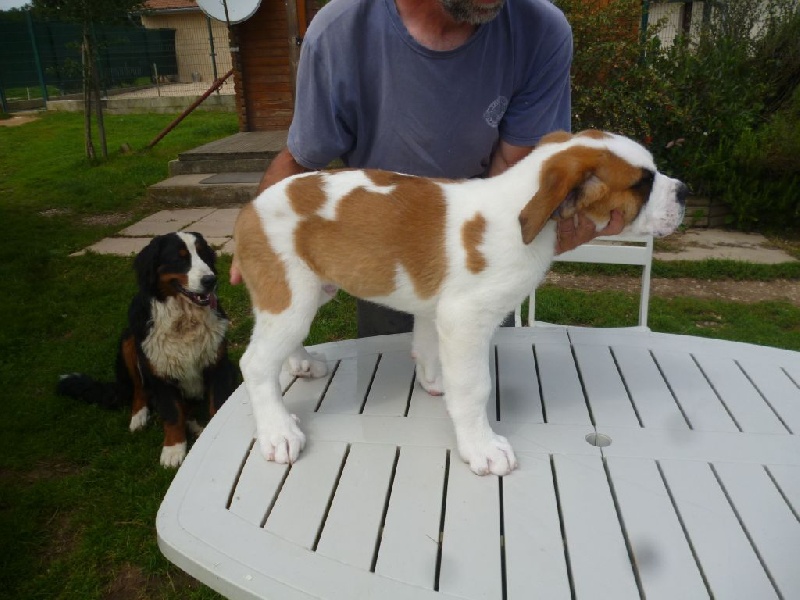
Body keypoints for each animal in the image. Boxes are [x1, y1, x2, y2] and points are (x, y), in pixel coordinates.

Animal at [58, 232, 238, 467]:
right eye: (179, 258)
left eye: (204, 254)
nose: (211, 280)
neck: (184, 319)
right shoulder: (159, 372)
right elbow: (172, 414)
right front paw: (173, 450)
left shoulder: (218, 365)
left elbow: (217, 405)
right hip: (129, 341)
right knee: (139, 389)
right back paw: (139, 417)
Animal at [233, 130, 687, 476]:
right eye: (642, 184)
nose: (686, 191)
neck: (521, 209)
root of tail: (251, 206)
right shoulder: (466, 318)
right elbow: (474, 386)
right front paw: (481, 445)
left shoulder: (440, 312)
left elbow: (431, 351)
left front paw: (436, 382)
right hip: (291, 295)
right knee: (255, 363)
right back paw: (278, 431)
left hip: (308, 292)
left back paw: (300, 362)